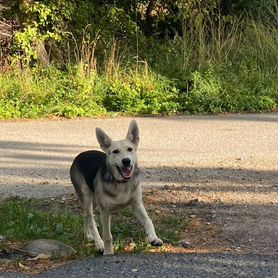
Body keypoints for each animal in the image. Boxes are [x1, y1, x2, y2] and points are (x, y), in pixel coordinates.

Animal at [70, 119, 163, 254]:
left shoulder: (137, 204)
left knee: (86, 216)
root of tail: (80, 155)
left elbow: (148, 221)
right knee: (91, 219)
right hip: (87, 197)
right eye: (115, 151)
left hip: (95, 201)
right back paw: (98, 243)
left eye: (130, 149)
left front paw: (154, 238)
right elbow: (107, 236)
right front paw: (108, 252)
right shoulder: (105, 211)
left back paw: (88, 235)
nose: (126, 161)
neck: (121, 183)